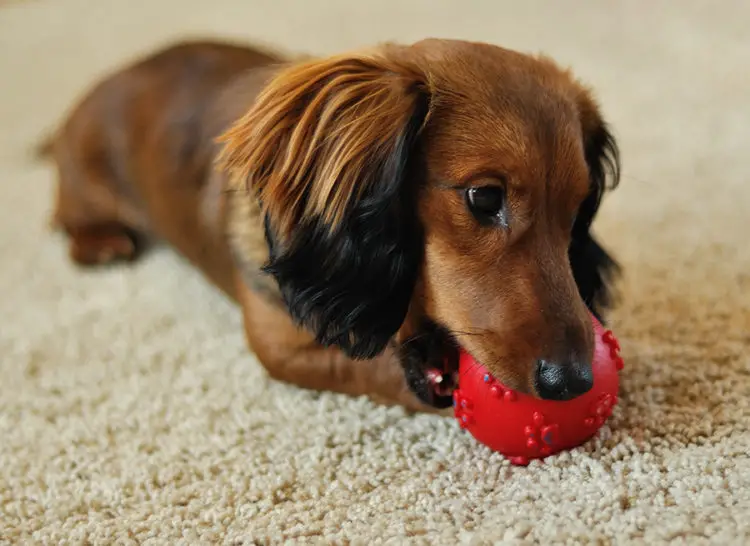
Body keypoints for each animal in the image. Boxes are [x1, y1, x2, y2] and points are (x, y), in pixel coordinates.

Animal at [36, 38, 624, 410]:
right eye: (484, 197)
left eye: (578, 210)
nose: (574, 381)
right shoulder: (279, 342)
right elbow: (367, 362)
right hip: (83, 183)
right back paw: (100, 241)